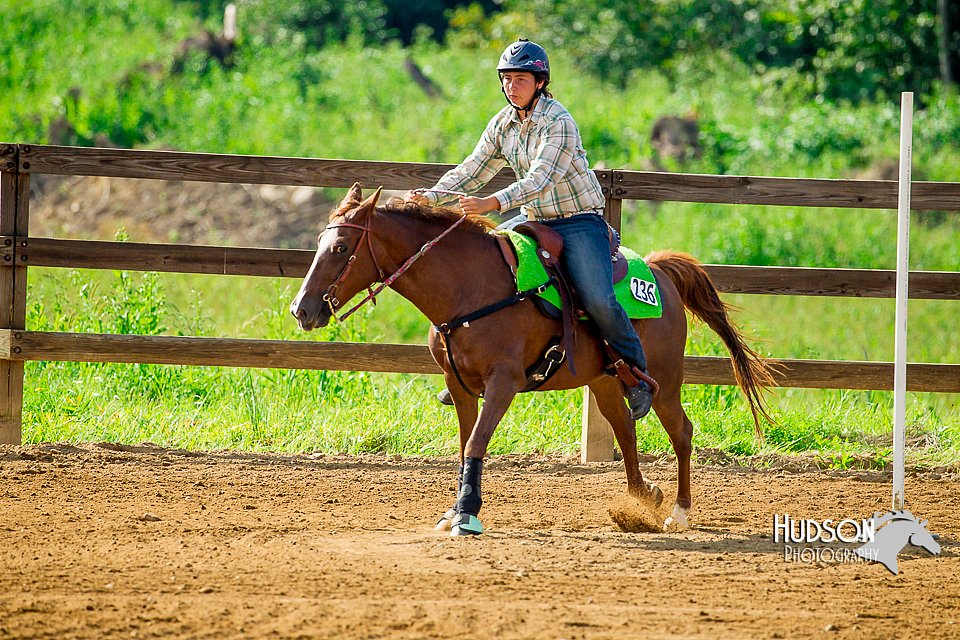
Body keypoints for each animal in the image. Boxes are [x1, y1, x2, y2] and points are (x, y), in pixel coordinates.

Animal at [288, 184, 776, 536]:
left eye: (340, 249)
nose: (301, 310)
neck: (469, 288)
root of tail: (659, 270)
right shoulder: (461, 387)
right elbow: (464, 445)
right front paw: (453, 510)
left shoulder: (503, 382)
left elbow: (476, 443)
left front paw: (466, 515)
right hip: (602, 379)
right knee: (624, 427)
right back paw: (643, 499)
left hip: (667, 380)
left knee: (680, 432)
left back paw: (679, 512)